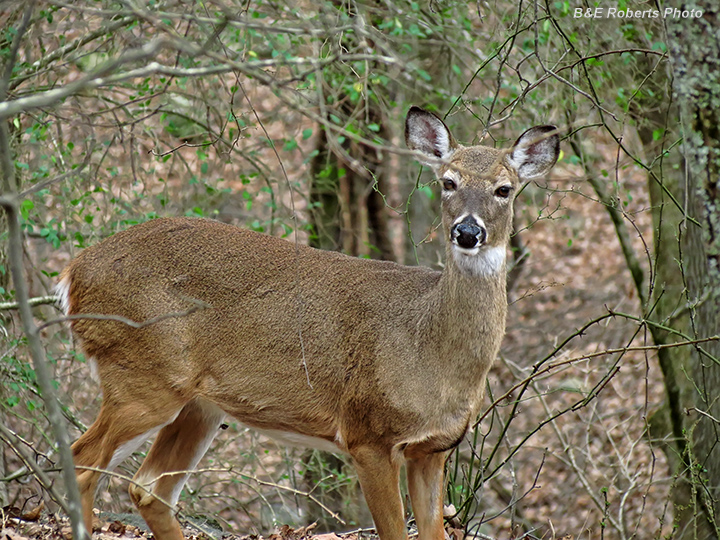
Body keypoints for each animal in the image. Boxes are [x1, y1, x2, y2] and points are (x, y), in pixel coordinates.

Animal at [57, 106, 559, 540]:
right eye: (447, 181)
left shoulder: (432, 450)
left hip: (199, 404)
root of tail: (73, 273)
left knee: (148, 488)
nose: (467, 232)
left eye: (504, 189)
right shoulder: (366, 434)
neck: (428, 348)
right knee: (82, 462)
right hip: (142, 375)